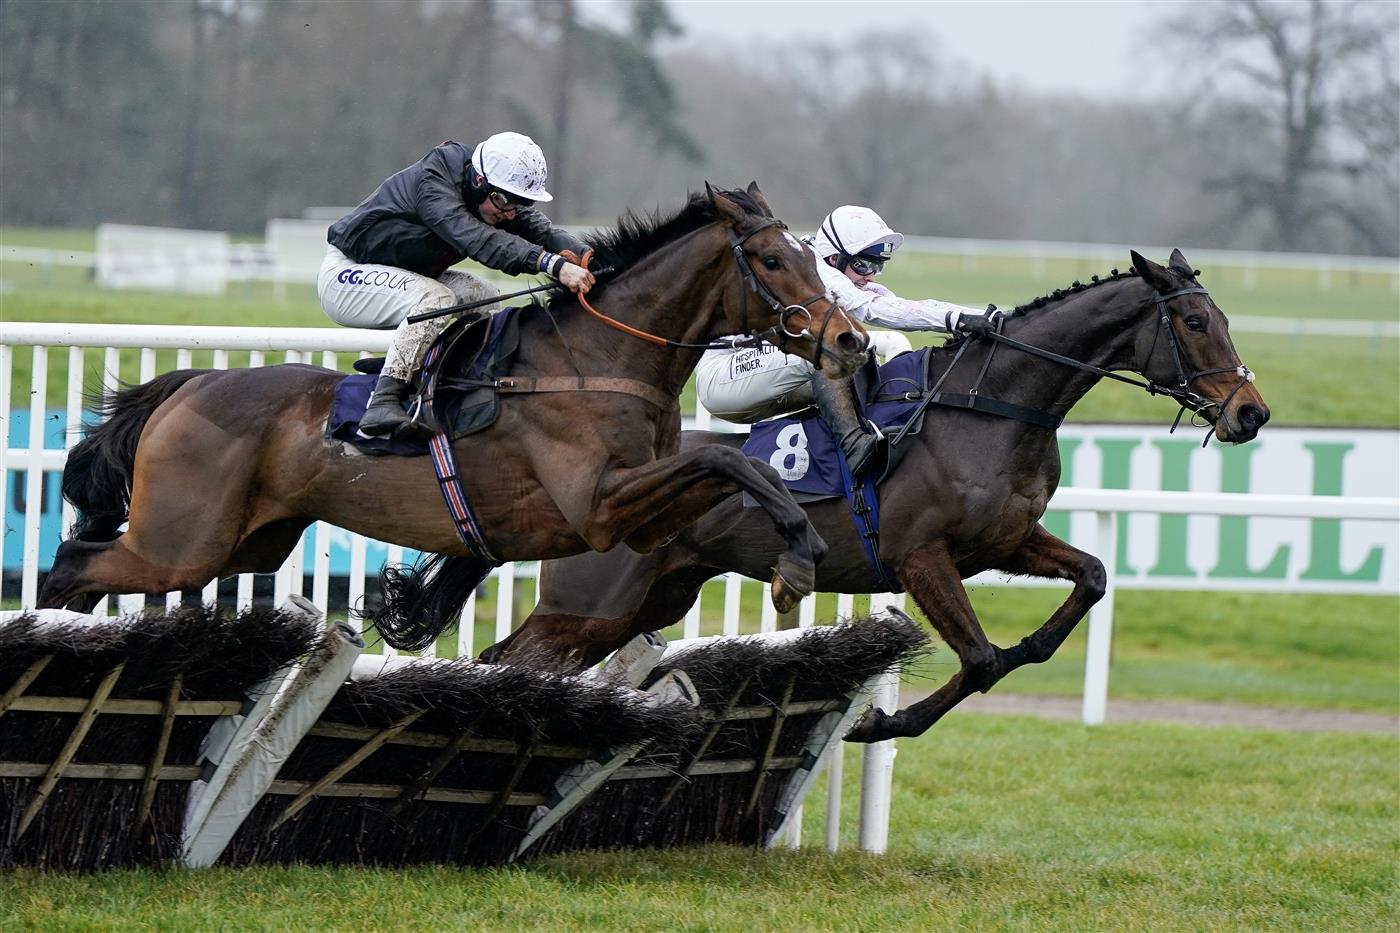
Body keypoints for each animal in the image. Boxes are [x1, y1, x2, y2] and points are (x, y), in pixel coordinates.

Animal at [38, 182, 868, 647]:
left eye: (811, 256)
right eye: (772, 260)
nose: (850, 340)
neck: (598, 357)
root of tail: (191, 384)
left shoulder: (638, 521)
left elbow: (741, 466)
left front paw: (796, 545)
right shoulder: (597, 507)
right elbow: (725, 456)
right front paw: (798, 555)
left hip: (247, 542)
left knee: (86, 570)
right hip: (181, 542)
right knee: (73, 563)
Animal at [481, 250, 1271, 739]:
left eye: (1225, 319)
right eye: (1195, 322)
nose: (1251, 413)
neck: (989, 409)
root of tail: (590, 479)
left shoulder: (1007, 541)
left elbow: (1092, 580)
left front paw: (1033, 643)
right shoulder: (921, 556)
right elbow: (981, 659)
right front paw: (883, 722)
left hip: (649, 600)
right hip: (592, 604)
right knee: (513, 661)